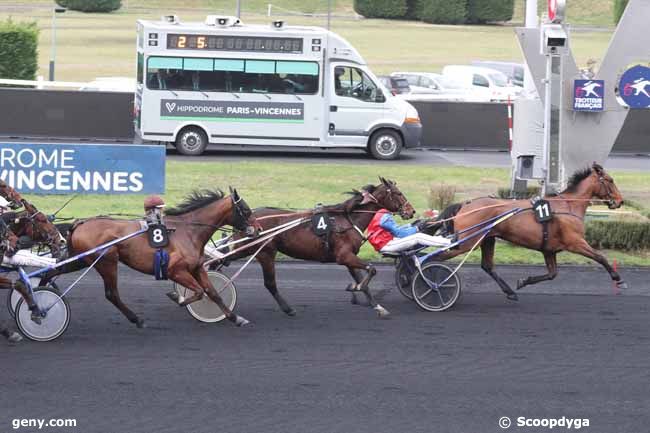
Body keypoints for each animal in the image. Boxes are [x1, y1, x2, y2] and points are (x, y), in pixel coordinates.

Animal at [228, 176, 412, 318]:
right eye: (398, 193)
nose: (412, 211)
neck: (347, 220)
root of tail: (248, 220)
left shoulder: (348, 258)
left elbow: (363, 280)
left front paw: (377, 306)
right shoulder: (344, 256)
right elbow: (371, 269)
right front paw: (356, 287)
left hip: (251, 249)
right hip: (264, 252)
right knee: (269, 283)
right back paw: (288, 309)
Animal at [428, 163, 624, 300]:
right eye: (610, 180)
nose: (620, 201)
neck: (568, 205)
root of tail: (465, 204)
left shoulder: (549, 250)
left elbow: (552, 274)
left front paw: (523, 281)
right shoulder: (575, 242)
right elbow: (600, 257)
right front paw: (618, 278)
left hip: (487, 239)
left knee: (487, 266)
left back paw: (510, 292)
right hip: (467, 243)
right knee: (434, 257)